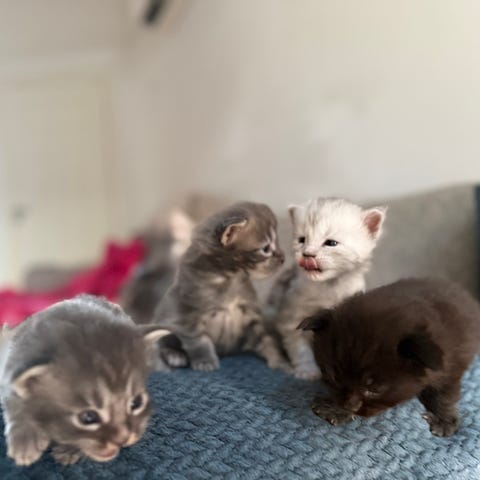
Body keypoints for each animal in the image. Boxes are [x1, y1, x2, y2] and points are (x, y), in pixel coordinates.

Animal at [0, 295, 169, 466]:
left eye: (136, 402)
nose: (123, 439)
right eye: (88, 417)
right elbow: (13, 400)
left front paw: (71, 449)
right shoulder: (9, 364)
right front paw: (25, 436)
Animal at [153, 201, 287, 372]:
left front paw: (279, 361)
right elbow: (199, 340)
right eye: (266, 249)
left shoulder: (251, 313)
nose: (283, 258)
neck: (230, 278)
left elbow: (267, 339)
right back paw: (174, 355)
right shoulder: (188, 315)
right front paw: (205, 361)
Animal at [266, 197, 386, 379]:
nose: (307, 254)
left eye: (331, 243)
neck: (329, 287)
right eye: (302, 240)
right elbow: (300, 347)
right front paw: (308, 370)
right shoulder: (290, 315)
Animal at [299, 278, 480, 436]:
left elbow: (444, 394)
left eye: (374, 389)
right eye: (334, 378)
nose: (350, 406)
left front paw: (444, 420)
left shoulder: (451, 363)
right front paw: (335, 409)